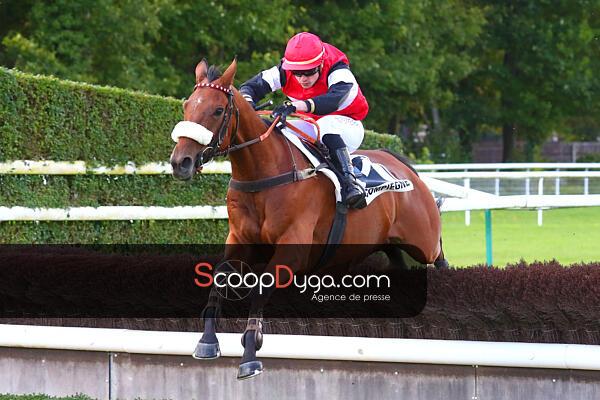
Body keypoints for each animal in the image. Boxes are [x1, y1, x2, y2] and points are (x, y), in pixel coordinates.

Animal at [170, 58, 448, 379]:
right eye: (187, 106)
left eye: (217, 110)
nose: (180, 162)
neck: (264, 173)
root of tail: (404, 166)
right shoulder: (240, 240)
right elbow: (217, 278)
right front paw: (206, 341)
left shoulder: (293, 250)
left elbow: (261, 289)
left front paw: (250, 353)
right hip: (379, 247)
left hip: (423, 241)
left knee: (438, 258)